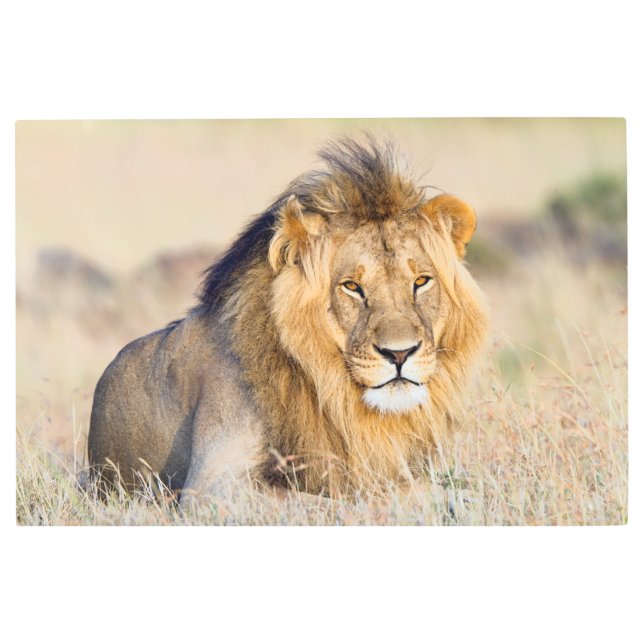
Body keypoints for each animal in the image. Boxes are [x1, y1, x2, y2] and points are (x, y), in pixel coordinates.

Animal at [88, 136, 489, 505]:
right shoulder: (212, 487)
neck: (331, 391)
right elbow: (351, 496)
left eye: (421, 281)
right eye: (352, 286)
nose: (400, 354)